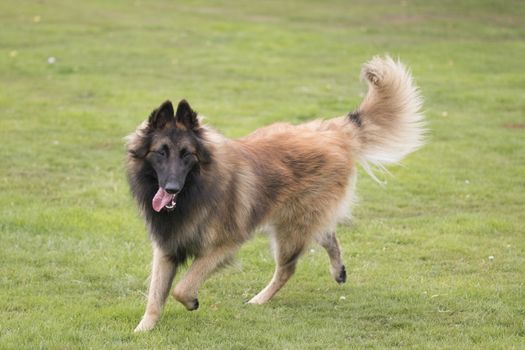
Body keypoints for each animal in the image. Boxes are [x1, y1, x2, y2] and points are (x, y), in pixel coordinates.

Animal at [125, 55, 424, 330]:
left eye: (187, 155)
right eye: (161, 152)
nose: (171, 188)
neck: (197, 189)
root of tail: (331, 132)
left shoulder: (224, 245)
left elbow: (181, 288)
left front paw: (191, 301)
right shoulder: (166, 248)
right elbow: (156, 296)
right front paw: (143, 329)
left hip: (290, 230)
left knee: (288, 267)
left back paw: (259, 299)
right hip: (296, 222)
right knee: (326, 234)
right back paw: (338, 271)